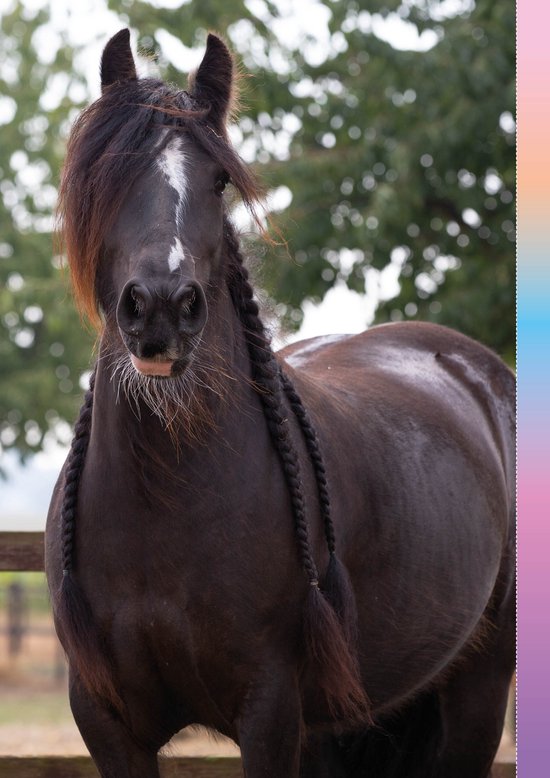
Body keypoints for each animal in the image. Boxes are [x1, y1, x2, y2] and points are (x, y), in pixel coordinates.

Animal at [45, 29, 516, 778]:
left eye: (219, 180)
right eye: (108, 173)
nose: (161, 310)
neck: (161, 500)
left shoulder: (269, 709)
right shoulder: (105, 718)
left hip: (478, 690)